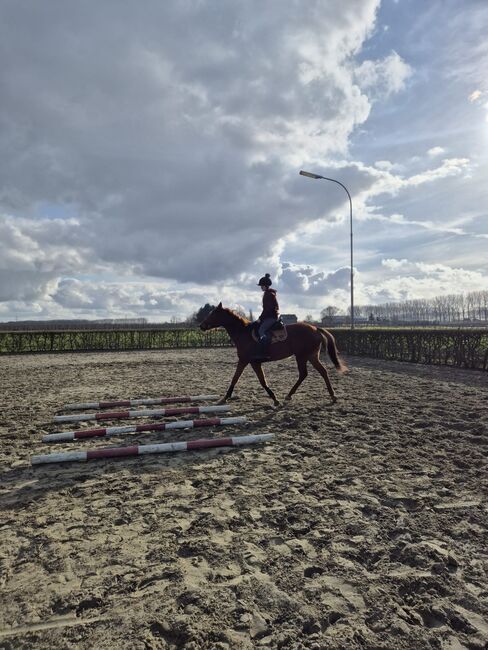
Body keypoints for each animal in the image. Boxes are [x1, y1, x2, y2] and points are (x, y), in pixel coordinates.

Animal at [200, 303, 347, 406]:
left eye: (213, 314)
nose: (201, 325)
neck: (243, 333)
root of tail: (315, 328)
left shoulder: (248, 361)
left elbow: (255, 380)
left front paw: (275, 399)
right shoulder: (248, 361)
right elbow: (237, 378)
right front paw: (225, 397)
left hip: (302, 356)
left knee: (304, 374)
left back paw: (290, 395)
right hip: (311, 356)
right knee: (322, 372)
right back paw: (332, 396)